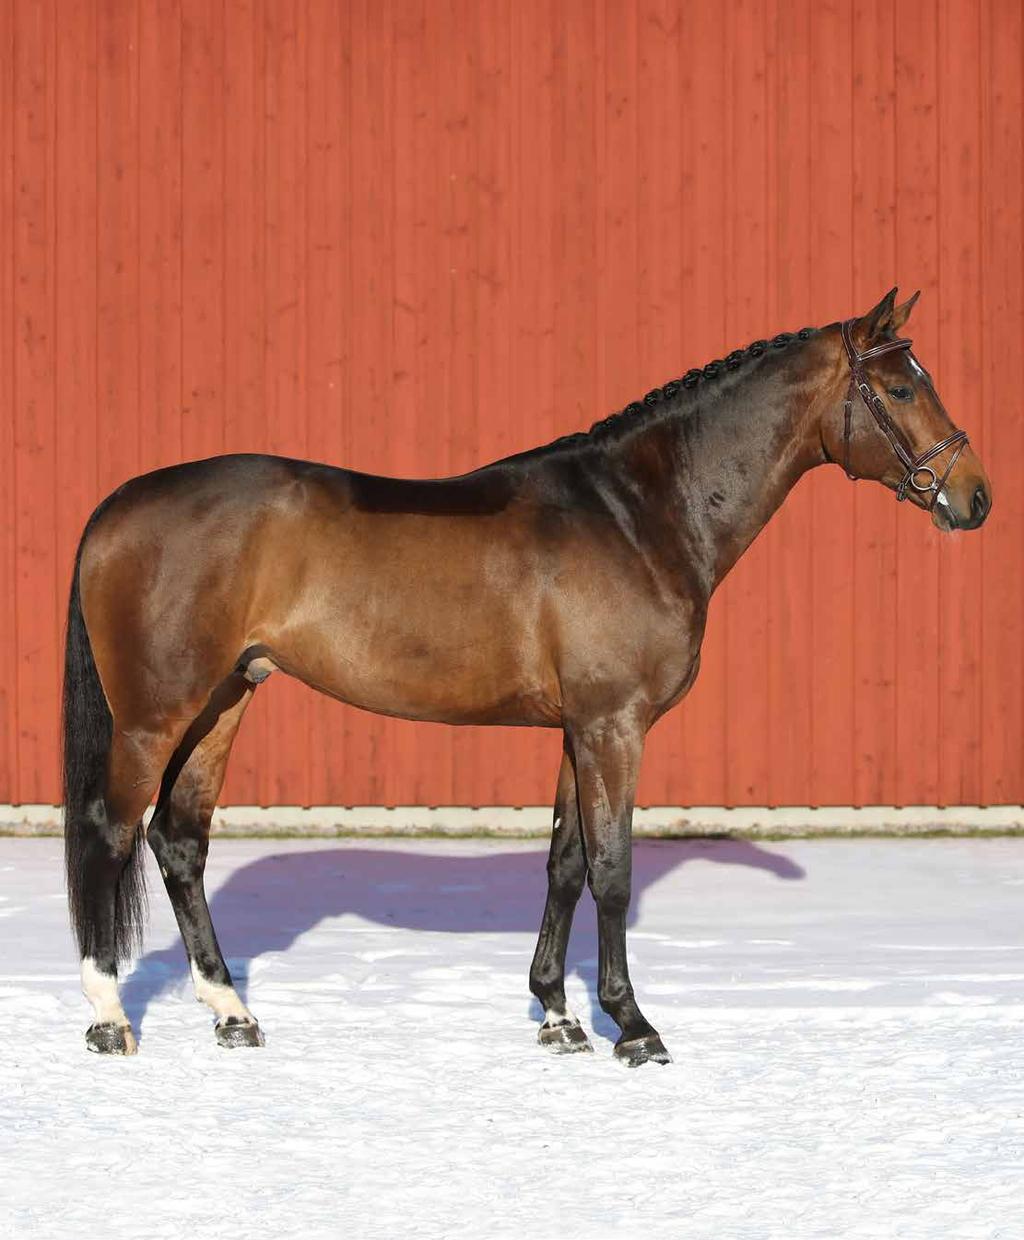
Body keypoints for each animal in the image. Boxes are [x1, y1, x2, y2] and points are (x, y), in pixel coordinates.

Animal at [63, 285, 991, 1061]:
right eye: (900, 389)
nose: (975, 498)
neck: (638, 514)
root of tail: (115, 507)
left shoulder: (581, 727)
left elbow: (566, 865)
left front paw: (557, 1015)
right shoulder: (615, 725)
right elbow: (613, 870)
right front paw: (633, 1026)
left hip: (222, 702)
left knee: (178, 840)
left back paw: (233, 1013)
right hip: (154, 715)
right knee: (110, 833)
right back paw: (108, 1020)